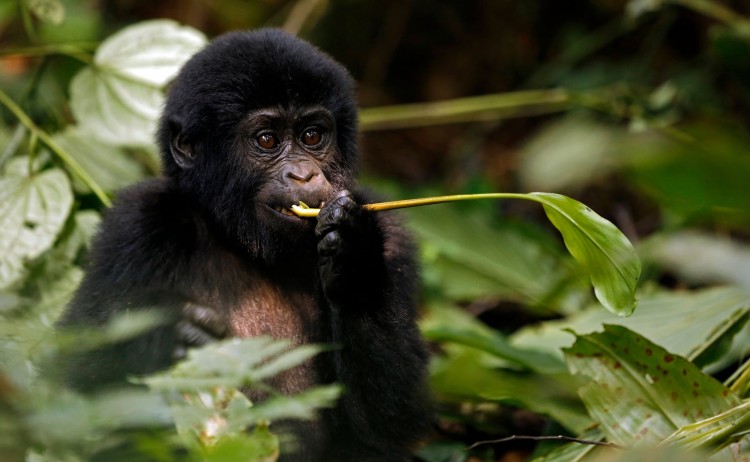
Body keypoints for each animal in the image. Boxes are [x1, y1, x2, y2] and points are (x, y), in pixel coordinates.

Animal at [57, 28, 432, 461]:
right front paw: (167, 340)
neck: (239, 239)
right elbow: (68, 383)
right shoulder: (137, 225)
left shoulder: (391, 234)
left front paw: (356, 266)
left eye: (313, 136)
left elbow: (388, 425)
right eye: (267, 139)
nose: (303, 174)